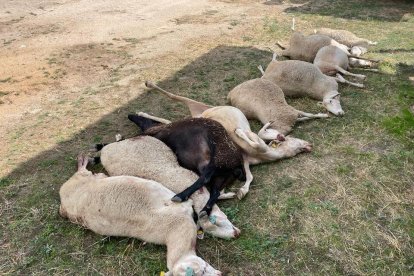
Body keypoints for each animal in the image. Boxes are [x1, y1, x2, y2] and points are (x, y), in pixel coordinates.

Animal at [59, 155, 222, 276]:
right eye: (201, 272)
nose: (220, 274)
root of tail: (63, 206)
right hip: (80, 182)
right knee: (82, 172)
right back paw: (82, 161)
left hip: (87, 180)